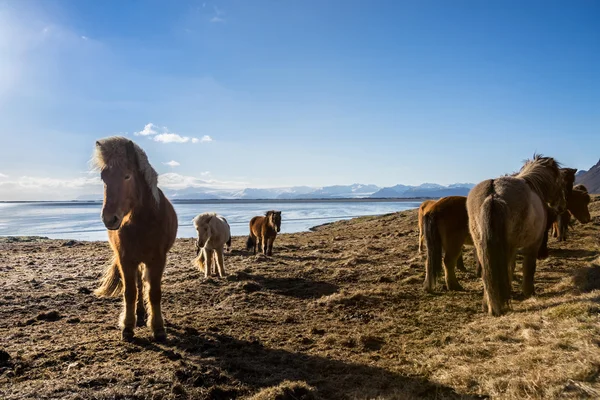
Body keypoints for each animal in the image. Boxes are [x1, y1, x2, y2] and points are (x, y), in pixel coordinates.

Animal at [90, 137, 177, 340]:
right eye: (103, 177)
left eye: (127, 176)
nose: (109, 219)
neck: (143, 222)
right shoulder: (126, 259)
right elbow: (130, 292)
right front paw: (128, 327)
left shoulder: (158, 259)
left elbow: (154, 292)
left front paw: (158, 328)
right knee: (138, 284)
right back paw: (139, 314)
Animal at [466, 155, 564, 318]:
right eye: (558, 180)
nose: (561, 205)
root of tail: (493, 194)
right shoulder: (532, 245)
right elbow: (528, 268)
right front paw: (528, 292)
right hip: (508, 247)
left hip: (482, 246)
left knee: (488, 274)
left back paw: (489, 305)